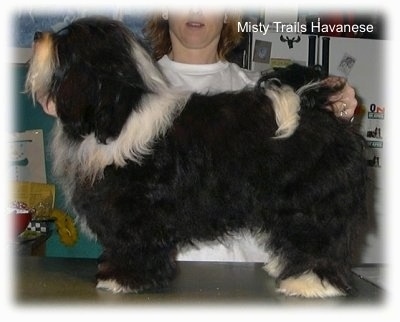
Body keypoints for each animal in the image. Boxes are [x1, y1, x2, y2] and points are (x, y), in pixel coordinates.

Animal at [25, 16, 368, 298]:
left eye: (64, 43)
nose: (37, 34)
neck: (118, 112)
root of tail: (309, 102)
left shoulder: (135, 211)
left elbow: (133, 244)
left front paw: (122, 278)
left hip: (310, 201)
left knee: (320, 237)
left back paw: (310, 282)